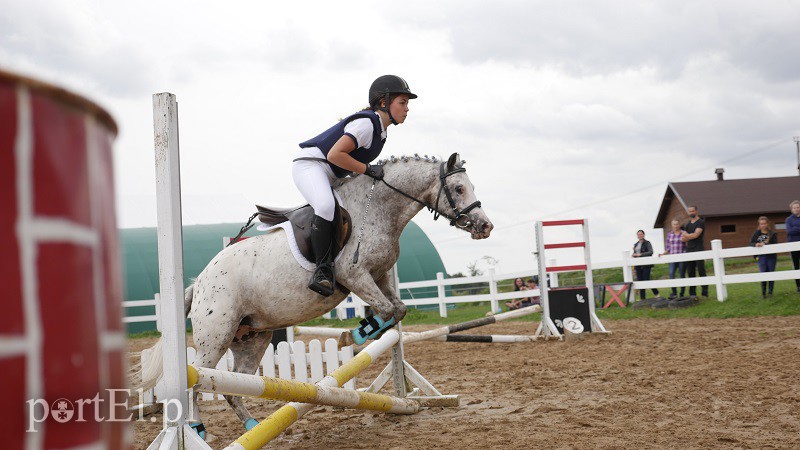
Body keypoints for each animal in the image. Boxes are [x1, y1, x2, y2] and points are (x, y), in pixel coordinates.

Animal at [136, 152, 493, 436]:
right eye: (459, 189)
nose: (484, 226)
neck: (378, 208)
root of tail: (199, 282)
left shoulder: (379, 275)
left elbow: (397, 310)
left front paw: (364, 331)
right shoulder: (354, 274)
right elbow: (388, 310)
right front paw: (356, 336)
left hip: (252, 337)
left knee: (233, 385)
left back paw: (253, 426)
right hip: (216, 334)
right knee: (198, 379)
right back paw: (197, 427)